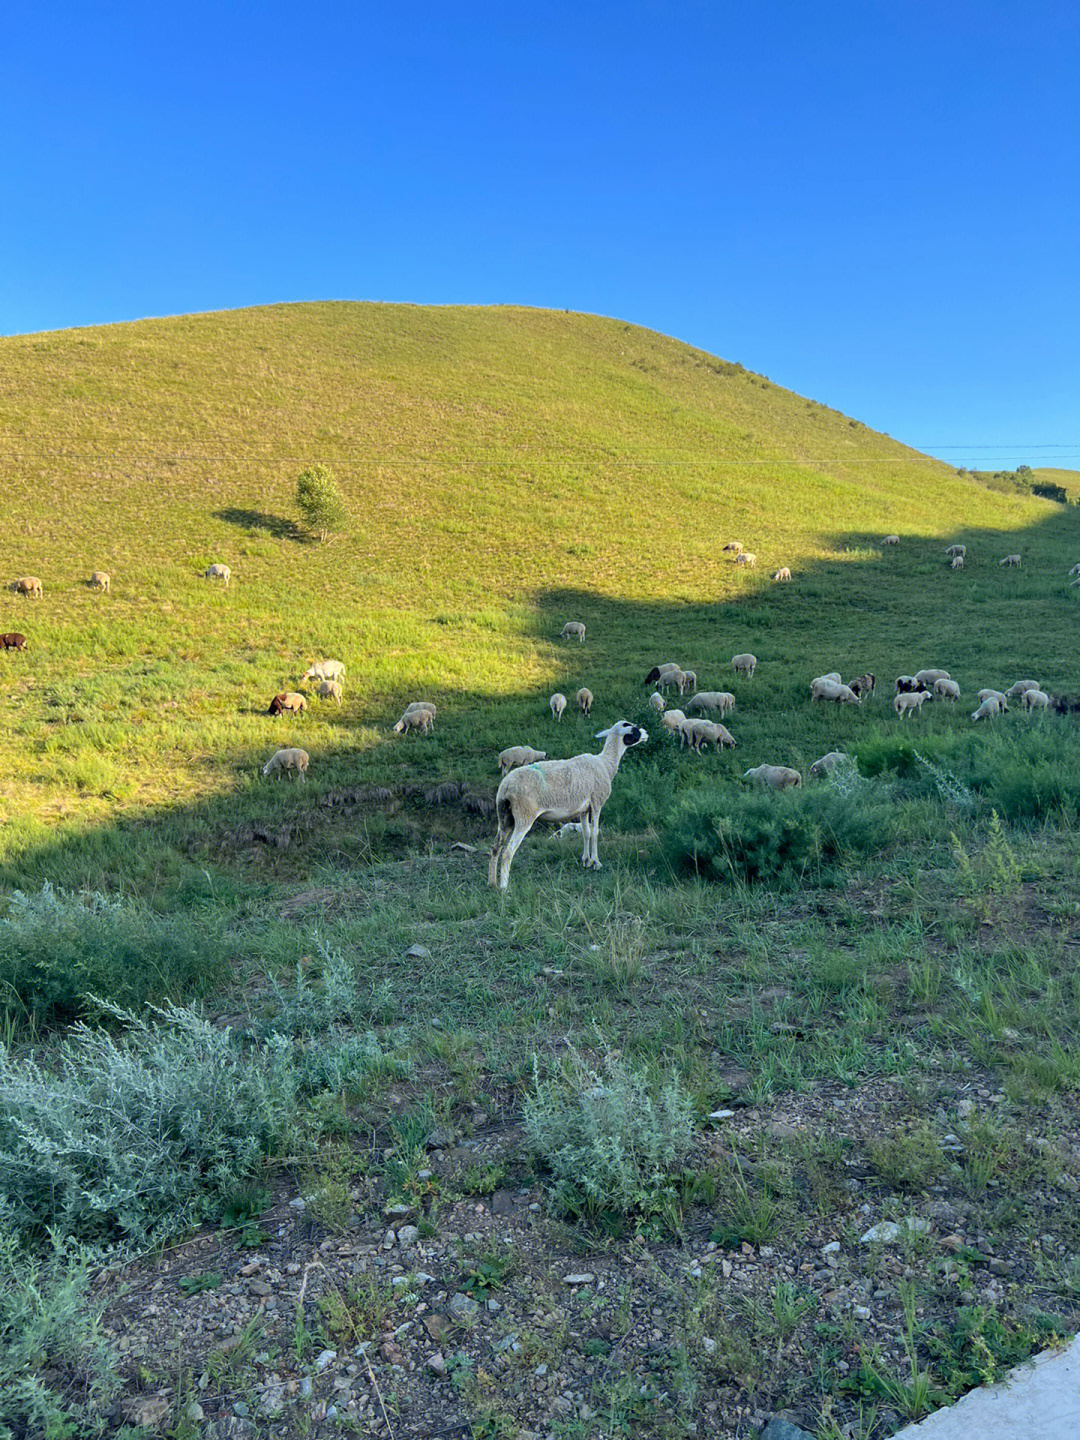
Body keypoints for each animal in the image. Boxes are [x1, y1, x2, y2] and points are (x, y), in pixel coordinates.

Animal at [489, 720, 650, 887]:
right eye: (634, 730)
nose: (647, 733)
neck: (605, 763)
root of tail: (506, 786)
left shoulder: (584, 809)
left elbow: (586, 832)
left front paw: (586, 861)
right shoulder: (597, 802)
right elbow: (595, 832)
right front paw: (596, 862)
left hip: (504, 816)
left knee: (496, 847)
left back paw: (492, 883)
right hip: (524, 815)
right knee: (507, 852)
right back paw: (504, 887)